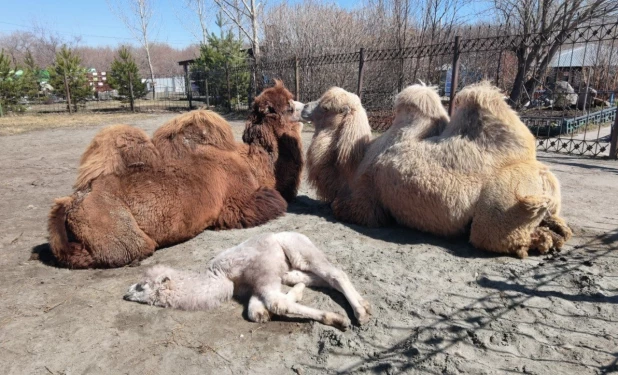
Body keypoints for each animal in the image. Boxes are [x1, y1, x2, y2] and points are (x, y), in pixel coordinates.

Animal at [48, 81, 304, 268]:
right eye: (289, 106)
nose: (305, 107)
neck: (254, 163)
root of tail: (70, 204)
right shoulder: (239, 204)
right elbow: (275, 201)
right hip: (123, 236)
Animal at [122, 232, 368, 332]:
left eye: (141, 286)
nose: (126, 293)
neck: (222, 276)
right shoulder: (253, 286)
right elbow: (256, 312)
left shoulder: (262, 272)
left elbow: (277, 303)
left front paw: (337, 319)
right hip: (294, 264)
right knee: (320, 278)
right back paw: (364, 306)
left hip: (301, 250)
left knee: (336, 273)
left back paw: (360, 314)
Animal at [300, 82, 572, 258]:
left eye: (325, 107)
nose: (302, 106)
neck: (352, 165)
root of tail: (545, 176)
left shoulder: (366, 203)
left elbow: (340, 206)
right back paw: (556, 235)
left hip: (501, 205)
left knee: (497, 236)